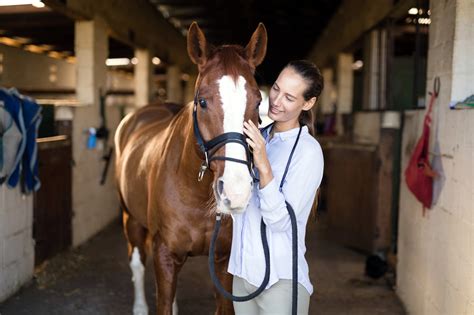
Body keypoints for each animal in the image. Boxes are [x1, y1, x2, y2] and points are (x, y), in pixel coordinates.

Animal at [115, 22, 266, 315]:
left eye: (257, 102)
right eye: (203, 102)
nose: (236, 192)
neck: (195, 193)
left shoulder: (223, 260)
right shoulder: (164, 254)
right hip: (131, 218)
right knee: (136, 262)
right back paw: (139, 306)